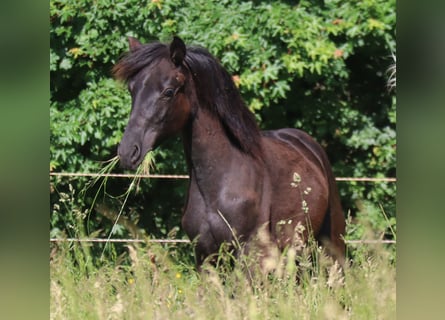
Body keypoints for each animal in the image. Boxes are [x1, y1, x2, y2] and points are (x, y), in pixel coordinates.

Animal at [112, 36, 346, 268]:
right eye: (132, 90)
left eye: (168, 92)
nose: (127, 151)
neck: (218, 185)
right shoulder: (204, 255)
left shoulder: (249, 255)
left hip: (331, 248)